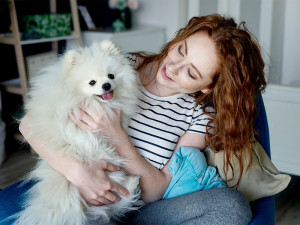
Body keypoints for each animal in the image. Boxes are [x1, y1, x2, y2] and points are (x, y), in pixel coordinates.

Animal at [13, 40, 141, 225]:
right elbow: (88, 142)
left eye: (111, 76)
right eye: (92, 82)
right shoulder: (69, 125)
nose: (106, 85)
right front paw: (109, 155)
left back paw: (132, 183)